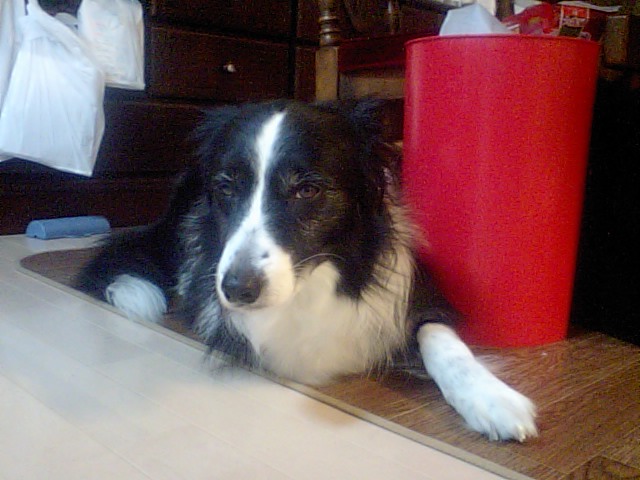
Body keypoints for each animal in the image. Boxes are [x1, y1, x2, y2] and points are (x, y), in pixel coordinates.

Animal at [80, 99, 537, 442]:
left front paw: (492, 398)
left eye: (308, 190)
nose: (236, 289)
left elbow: (443, 342)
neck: (322, 278)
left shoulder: (418, 293)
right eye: (226, 187)